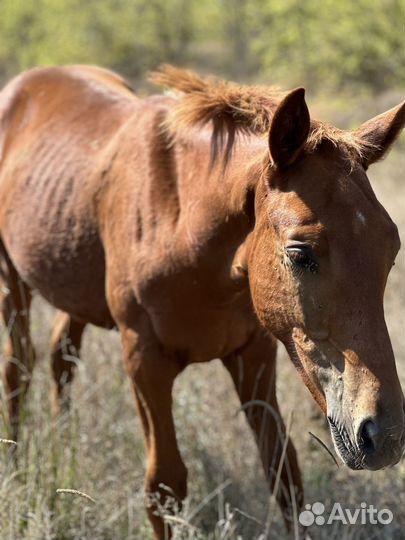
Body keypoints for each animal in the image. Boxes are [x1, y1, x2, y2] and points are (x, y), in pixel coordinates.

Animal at [0, 63, 402, 536]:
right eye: (300, 253)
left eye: (391, 249)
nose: (384, 436)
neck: (184, 223)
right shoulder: (145, 362)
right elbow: (164, 485)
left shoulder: (254, 357)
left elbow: (284, 473)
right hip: (13, 284)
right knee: (17, 367)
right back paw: (16, 461)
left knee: (61, 359)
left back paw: (64, 445)